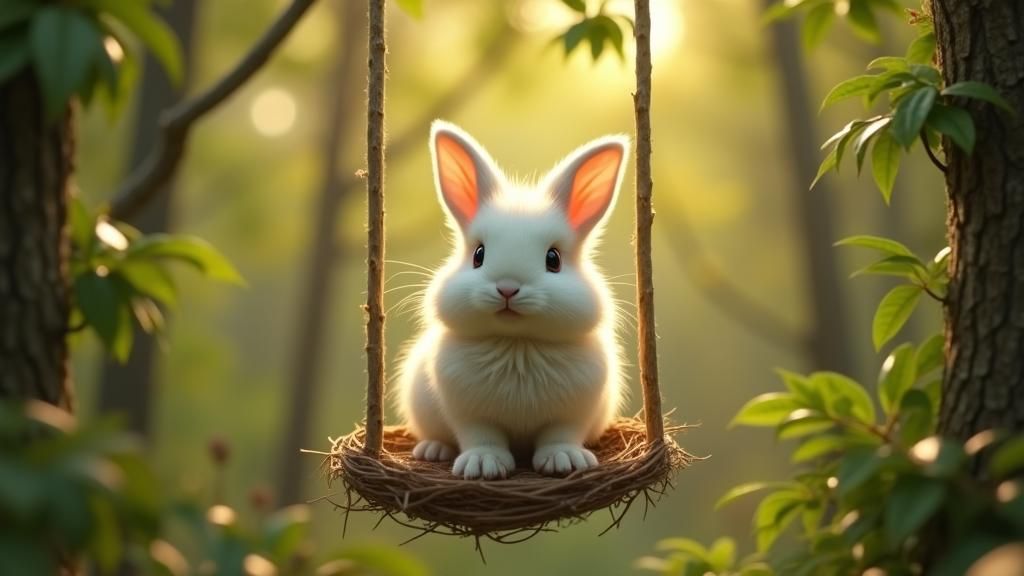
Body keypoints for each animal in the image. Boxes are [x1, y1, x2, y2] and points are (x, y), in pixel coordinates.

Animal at [397, 120, 629, 480]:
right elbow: (482, 437)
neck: (517, 345)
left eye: (553, 259)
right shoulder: (469, 413)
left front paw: (564, 460)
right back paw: (433, 450)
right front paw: (483, 466)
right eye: (478, 255)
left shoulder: (572, 412)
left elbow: (560, 435)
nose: (507, 288)